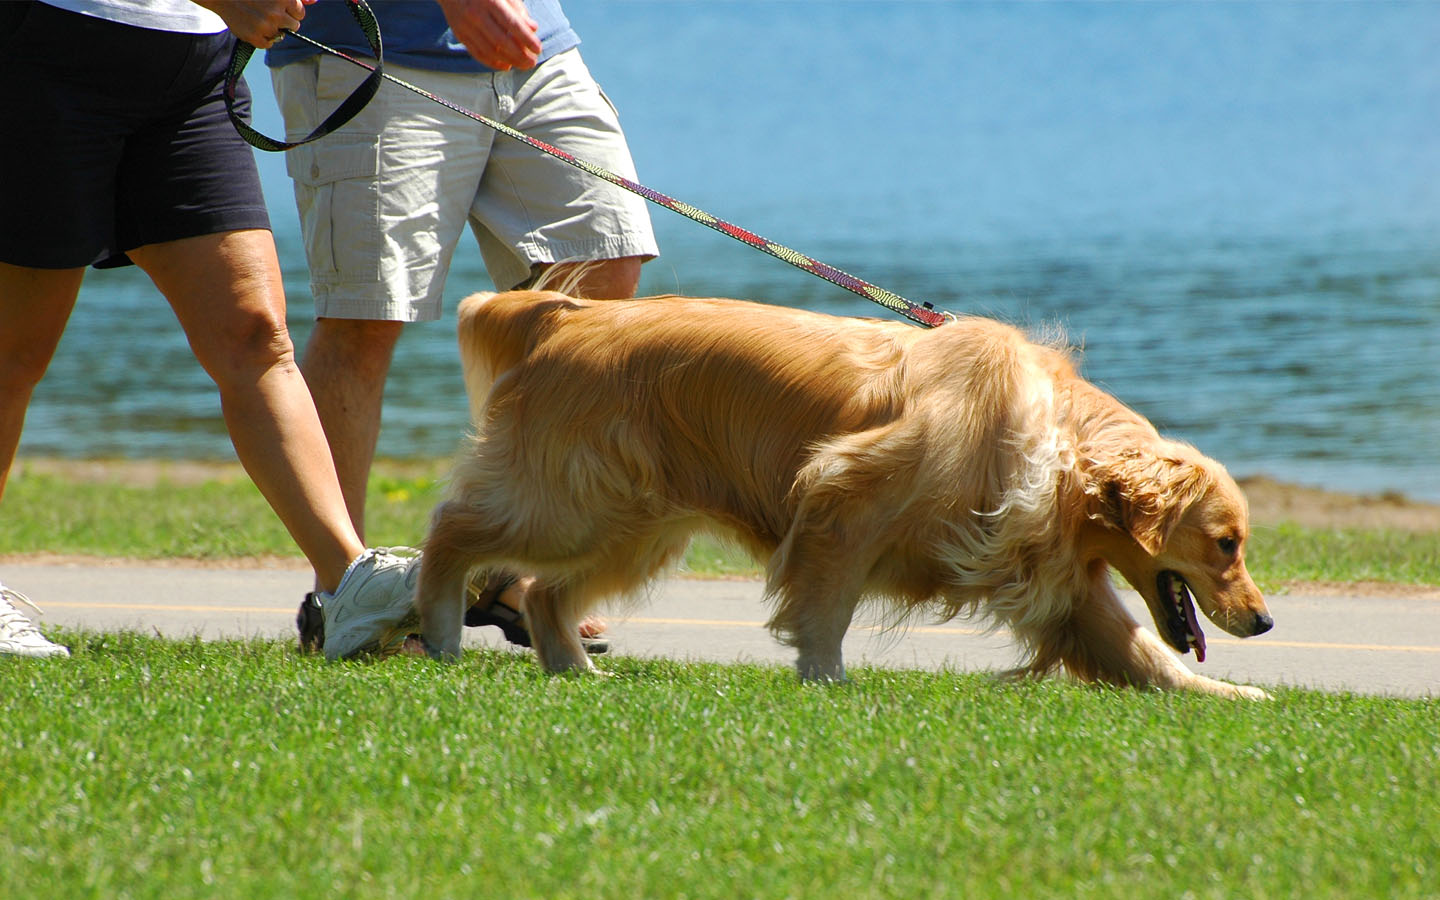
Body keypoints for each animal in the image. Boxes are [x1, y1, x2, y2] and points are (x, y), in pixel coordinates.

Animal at [414, 288, 1272, 694]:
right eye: (1225, 543)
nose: (1264, 621)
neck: (1056, 443)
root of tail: (562, 318)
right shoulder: (841, 497)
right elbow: (827, 608)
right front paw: (827, 681)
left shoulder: (1061, 577)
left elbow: (1144, 656)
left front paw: (1233, 699)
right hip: (576, 504)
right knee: (451, 529)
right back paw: (440, 631)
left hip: (636, 524)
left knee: (545, 593)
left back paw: (577, 672)